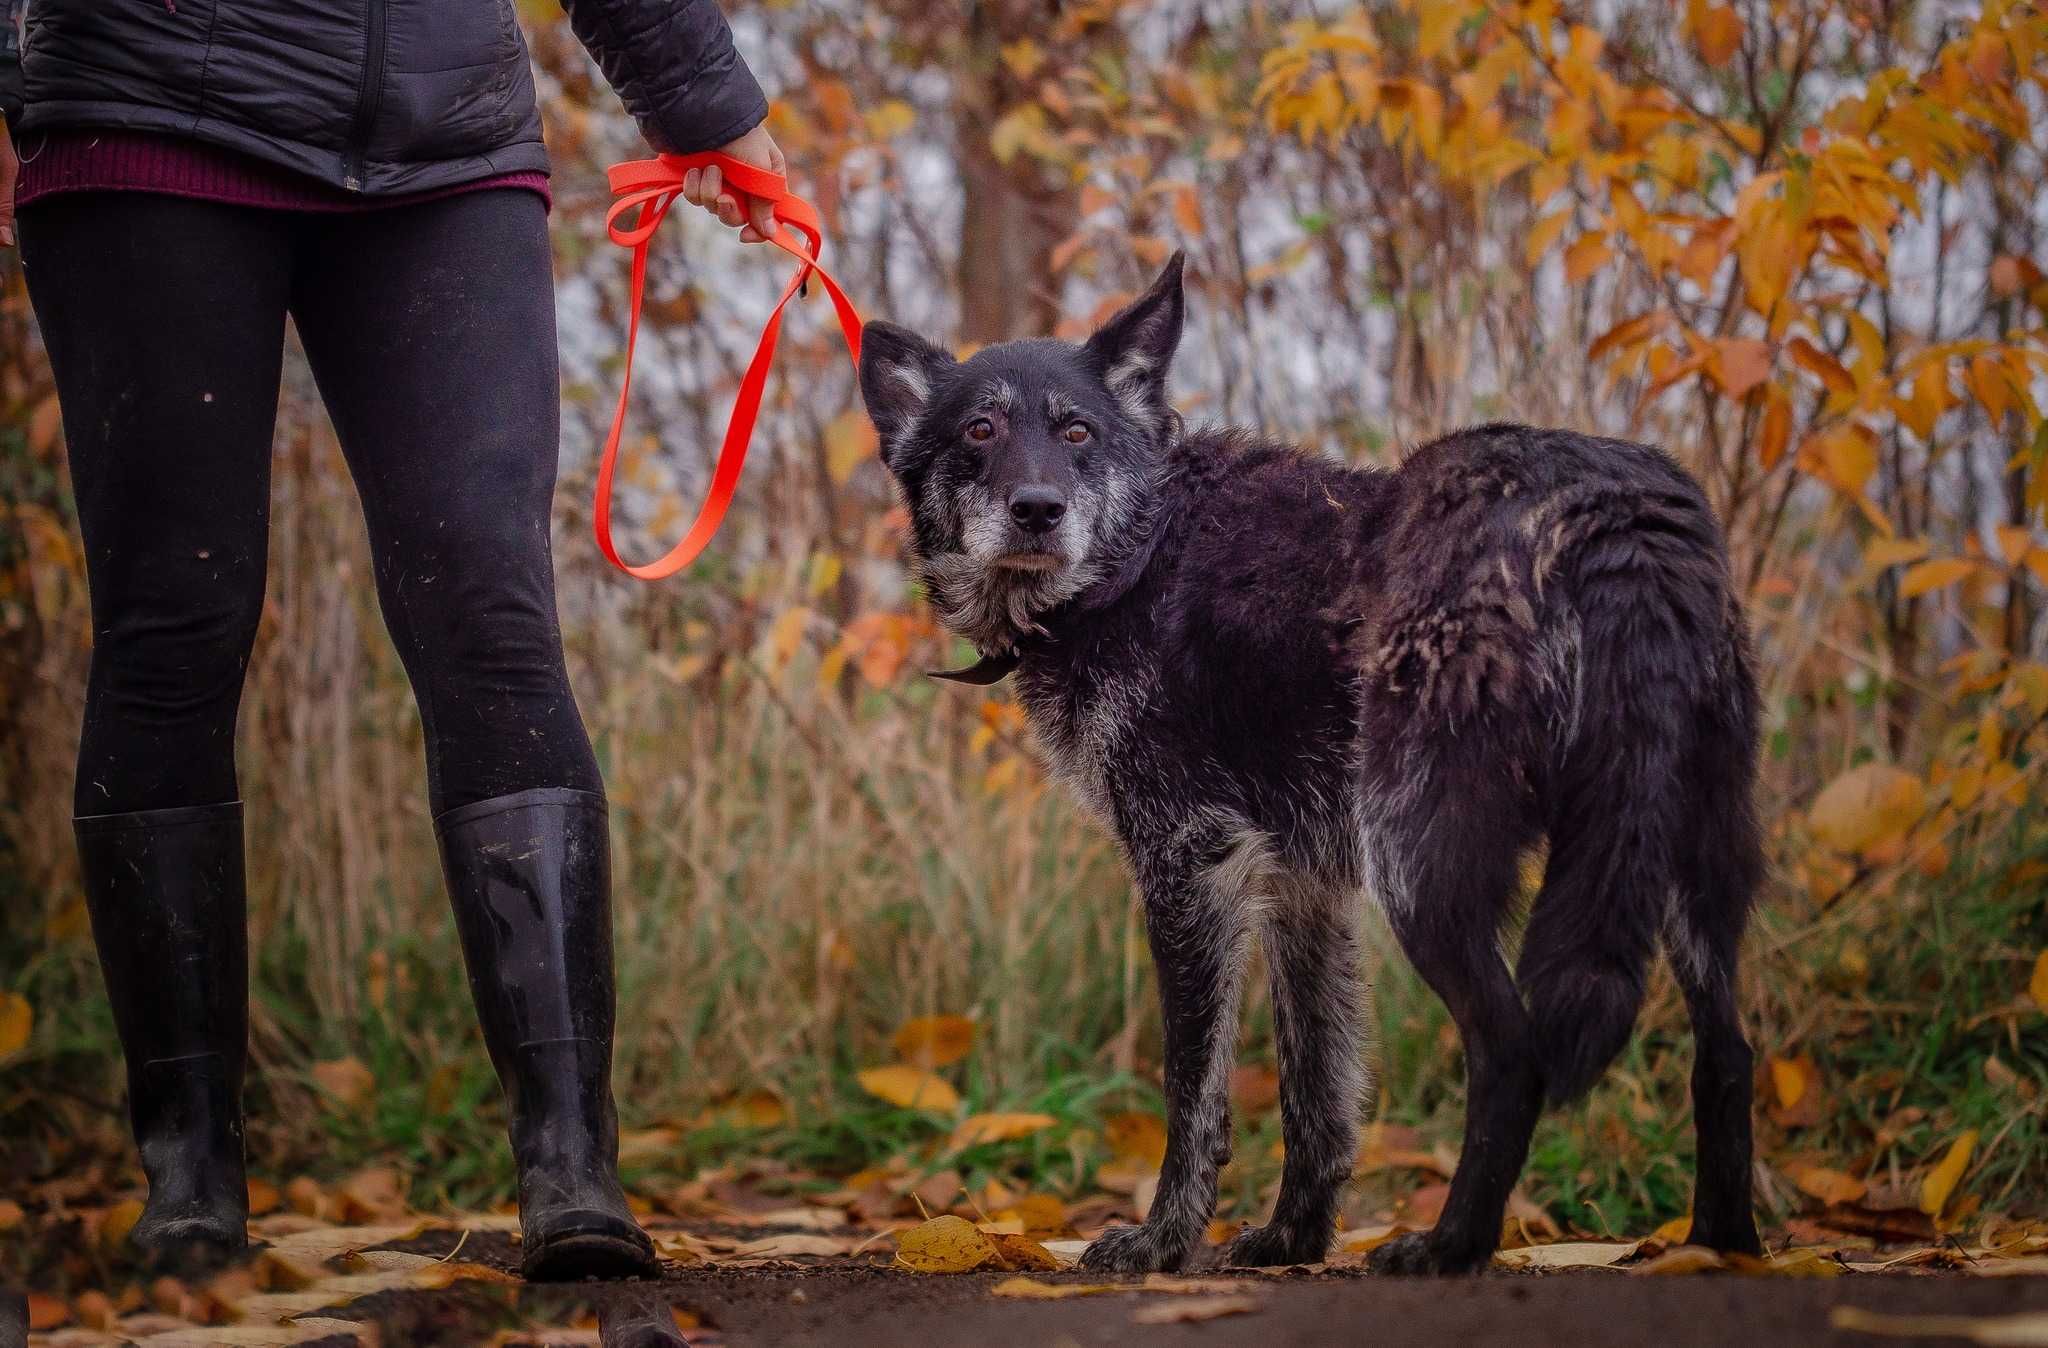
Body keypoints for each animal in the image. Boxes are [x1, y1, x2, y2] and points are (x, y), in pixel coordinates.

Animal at [856, 251, 1769, 1270]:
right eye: (980, 429)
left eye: (1077, 430)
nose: (1037, 511)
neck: (1142, 555)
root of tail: (1615, 514)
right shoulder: (1306, 885)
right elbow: (1317, 1090)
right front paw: (1293, 1237)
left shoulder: (1192, 868)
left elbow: (1195, 1090)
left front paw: (1164, 1241)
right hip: (1686, 867)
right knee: (1728, 1058)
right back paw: (1717, 1246)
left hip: (1428, 875)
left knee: (1511, 1050)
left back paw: (1451, 1247)